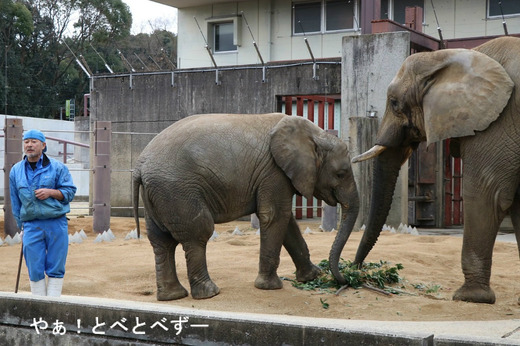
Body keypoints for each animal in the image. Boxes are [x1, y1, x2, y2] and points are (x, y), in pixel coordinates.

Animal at [132, 113, 360, 300]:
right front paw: (270, 287)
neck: (315, 134)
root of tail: (140, 166)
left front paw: (312, 277)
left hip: (158, 194)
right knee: (199, 232)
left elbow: (286, 221)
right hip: (178, 191)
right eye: (340, 174)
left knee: (161, 241)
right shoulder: (273, 171)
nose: (345, 280)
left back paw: (172, 296)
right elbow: (275, 215)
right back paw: (209, 293)